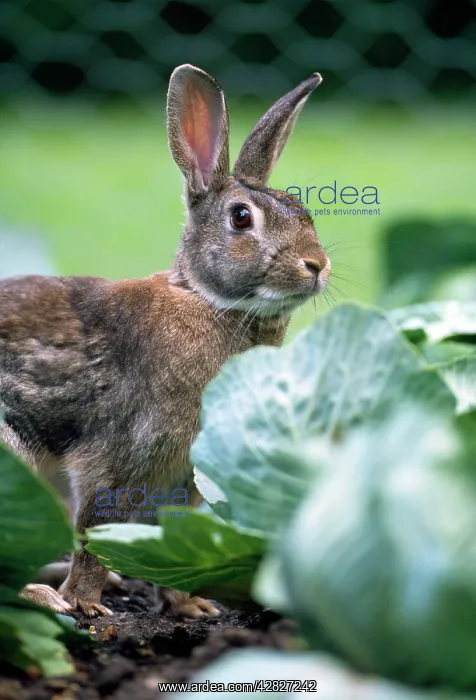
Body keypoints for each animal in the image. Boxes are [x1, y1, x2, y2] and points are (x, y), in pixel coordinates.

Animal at [0, 64, 330, 619]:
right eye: (242, 217)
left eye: (303, 210)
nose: (317, 266)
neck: (208, 301)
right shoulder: (120, 459)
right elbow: (97, 535)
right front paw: (88, 605)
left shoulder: (183, 481)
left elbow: (173, 542)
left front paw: (191, 606)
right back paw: (44, 599)